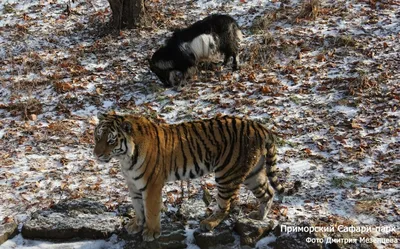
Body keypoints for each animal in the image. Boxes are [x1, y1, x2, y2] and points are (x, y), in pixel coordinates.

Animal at [93, 112, 300, 242]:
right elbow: (138, 207)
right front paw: (136, 225)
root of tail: (260, 126)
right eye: (97, 137)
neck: (125, 158)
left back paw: (209, 223)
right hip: (252, 173)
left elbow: (150, 210)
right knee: (268, 192)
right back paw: (258, 215)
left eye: (111, 140)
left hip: (226, 174)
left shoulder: (151, 185)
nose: (96, 154)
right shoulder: (133, 184)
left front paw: (151, 232)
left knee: (227, 204)